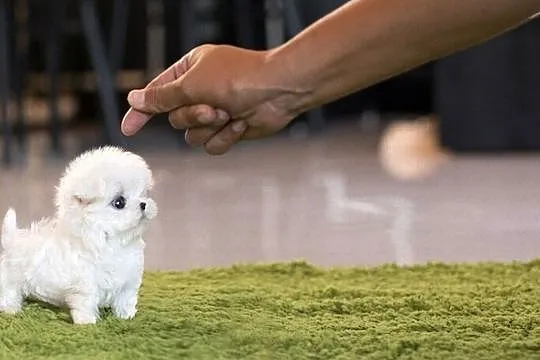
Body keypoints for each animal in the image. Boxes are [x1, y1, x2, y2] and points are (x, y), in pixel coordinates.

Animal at [0, 146, 156, 324]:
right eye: (119, 202)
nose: (144, 204)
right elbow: (86, 304)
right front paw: (87, 322)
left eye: (143, 194)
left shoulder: (128, 284)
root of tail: (11, 239)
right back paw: (11, 309)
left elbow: (125, 300)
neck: (111, 242)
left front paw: (126, 316)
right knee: (9, 294)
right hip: (10, 280)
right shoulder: (85, 287)